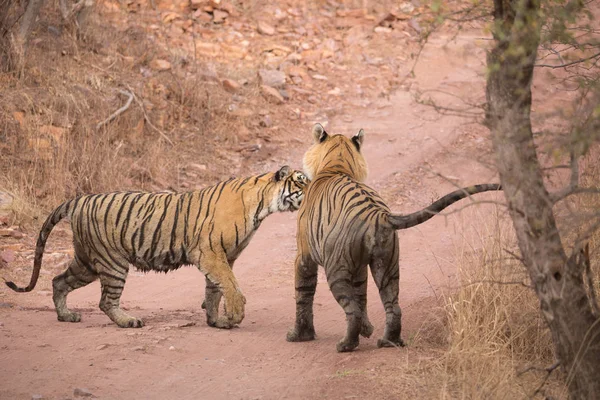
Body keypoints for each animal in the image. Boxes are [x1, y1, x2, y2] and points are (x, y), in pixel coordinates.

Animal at [5, 165, 310, 328]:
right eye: (302, 183)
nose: (316, 189)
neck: (262, 205)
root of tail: (80, 199)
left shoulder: (224, 256)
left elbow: (214, 290)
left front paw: (217, 321)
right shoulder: (211, 253)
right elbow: (229, 285)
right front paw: (235, 315)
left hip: (87, 261)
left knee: (58, 281)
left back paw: (66, 316)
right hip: (112, 262)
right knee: (105, 300)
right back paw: (128, 321)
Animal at [288, 123, 504, 352]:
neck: (336, 165)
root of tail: (377, 214)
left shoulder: (304, 256)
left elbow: (303, 293)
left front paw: (300, 335)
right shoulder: (360, 266)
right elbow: (361, 295)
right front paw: (367, 329)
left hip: (336, 268)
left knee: (351, 308)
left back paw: (347, 344)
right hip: (387, 265)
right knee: (393, 306)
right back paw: (388, 340)